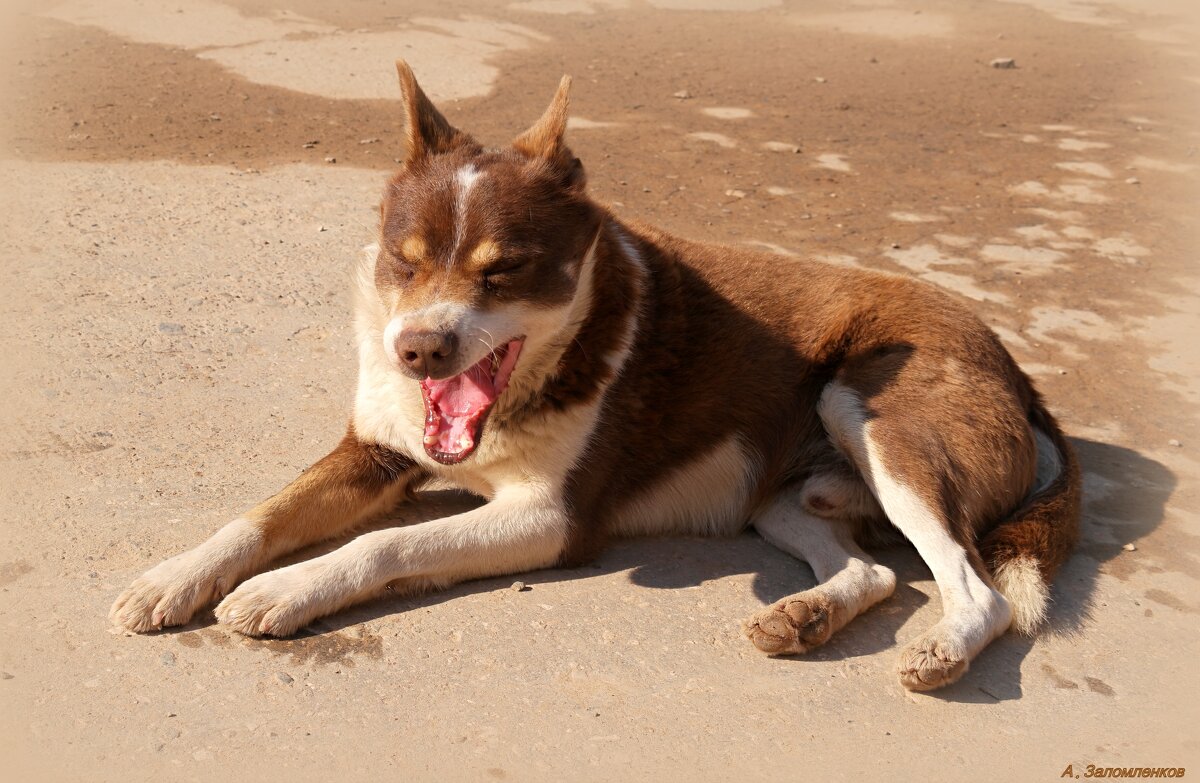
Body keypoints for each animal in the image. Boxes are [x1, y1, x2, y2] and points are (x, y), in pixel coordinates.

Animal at [112, 64, 1084, 696]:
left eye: (504, 271)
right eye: (404, 261)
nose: (417, 350)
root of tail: (1015, 365)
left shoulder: (554, 519)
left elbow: (385, 546)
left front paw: (285, 589)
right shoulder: (374, 452)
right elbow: (261, 514)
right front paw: (176, 576)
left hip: (873, 413)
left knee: (979, 589)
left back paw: (941, 648)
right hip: (784, 495)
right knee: (876, 572)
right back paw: (805, 614)